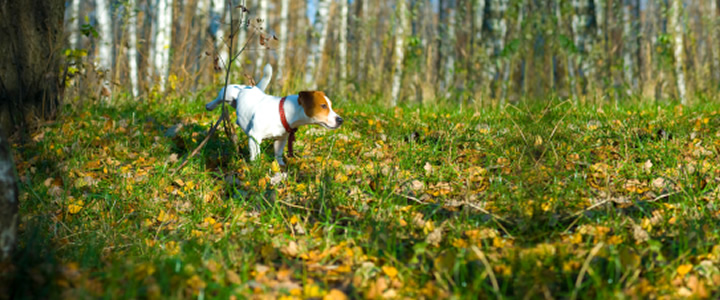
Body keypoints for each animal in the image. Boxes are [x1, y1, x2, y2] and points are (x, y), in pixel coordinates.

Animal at [205, 64, 344, 166]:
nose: (340, 120)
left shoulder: (280, 140)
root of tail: (251, 87)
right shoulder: (255, 137)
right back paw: (210, 105)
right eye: (323, 106)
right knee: (220, 96)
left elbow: (278, 155)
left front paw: (281, 166)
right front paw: (256, 168)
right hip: (229, 92)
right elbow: (256, 155)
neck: (282, 112)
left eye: (330, 105)